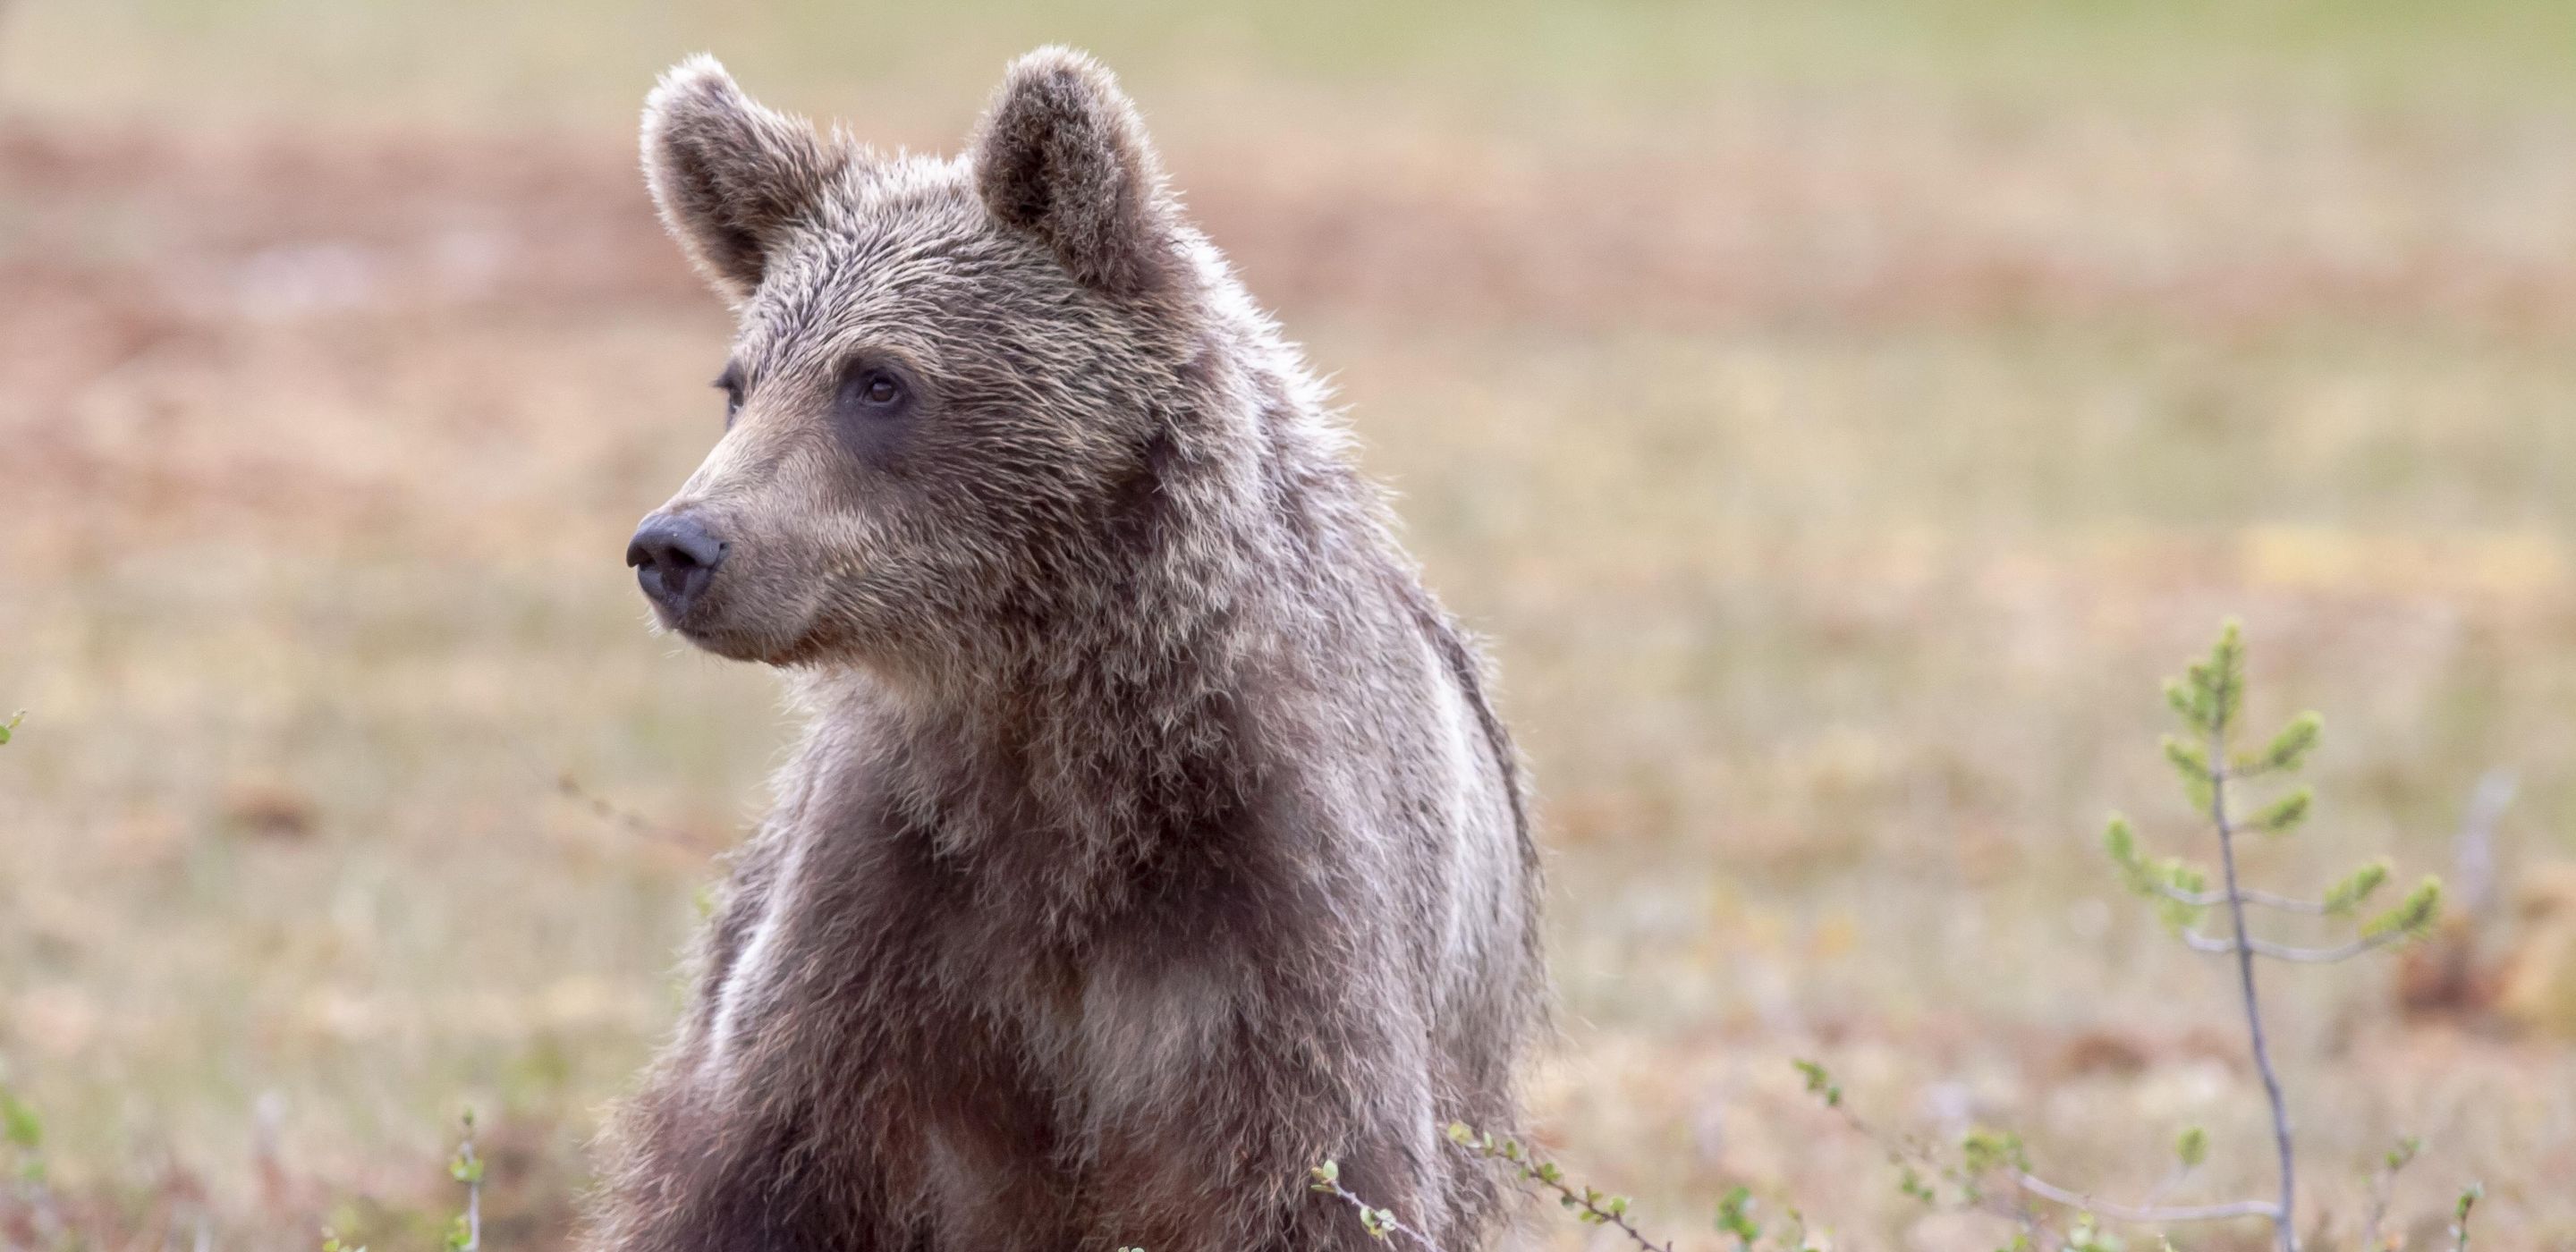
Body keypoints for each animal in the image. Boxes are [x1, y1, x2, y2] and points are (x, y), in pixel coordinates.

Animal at [592, 48, 1535, 1252]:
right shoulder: (884, 916)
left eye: (879, 378)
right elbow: (755, 1172)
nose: (679, 545)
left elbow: (1317, 1181)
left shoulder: (1276, 917)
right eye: (740, 382)